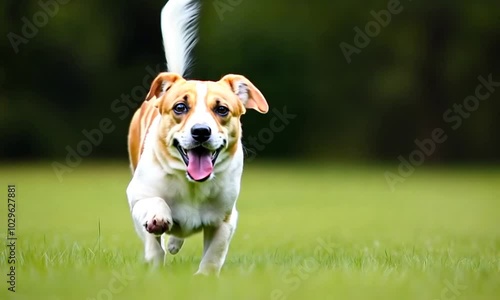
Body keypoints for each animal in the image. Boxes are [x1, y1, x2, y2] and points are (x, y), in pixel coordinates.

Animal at [125, 0, 270, 276]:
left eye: (222, 109)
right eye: (180, 107)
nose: (201, 131)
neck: (191, 184)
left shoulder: (226, 218)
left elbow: (215, 253)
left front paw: (204, 277)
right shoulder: (137, 195)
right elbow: (151, 215)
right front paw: (157, 226)